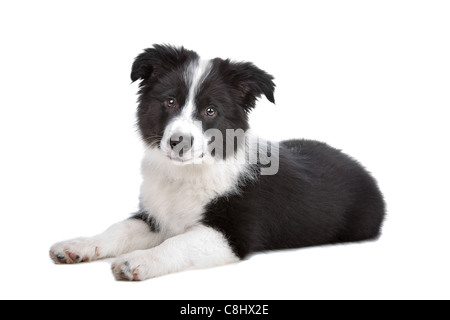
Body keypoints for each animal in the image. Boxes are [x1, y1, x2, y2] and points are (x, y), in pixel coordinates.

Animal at [50, 44, 386, 280]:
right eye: (170, 101)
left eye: (210, 110)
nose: (179, 142)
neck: (188, 174)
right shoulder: (157, 215)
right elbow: (119, 229)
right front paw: (77, 246)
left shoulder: (233, 233)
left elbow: (178, 243)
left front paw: (141, 260)